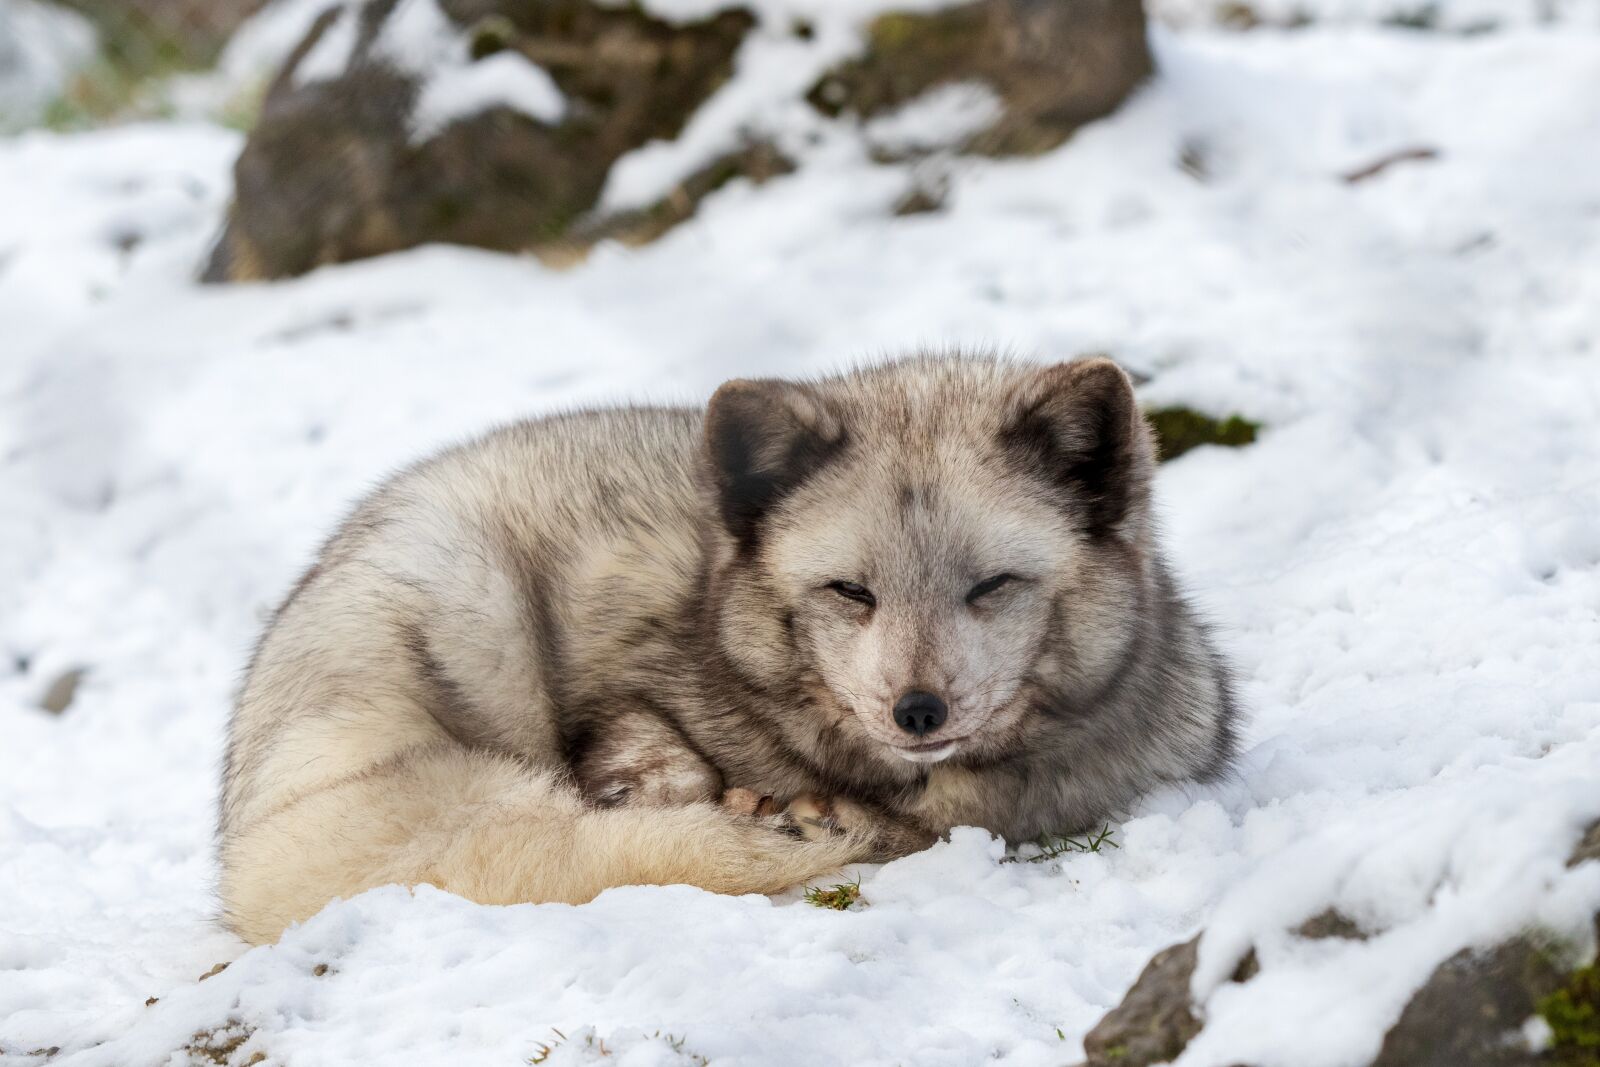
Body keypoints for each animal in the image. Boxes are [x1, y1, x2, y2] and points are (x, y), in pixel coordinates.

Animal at [218, 354, 1239, 943]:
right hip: (463, 598)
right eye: (851, 590)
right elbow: (643, 748)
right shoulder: (621, 679)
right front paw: (716, 800)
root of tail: (238, 837)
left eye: (991, 585)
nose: (918, 710)